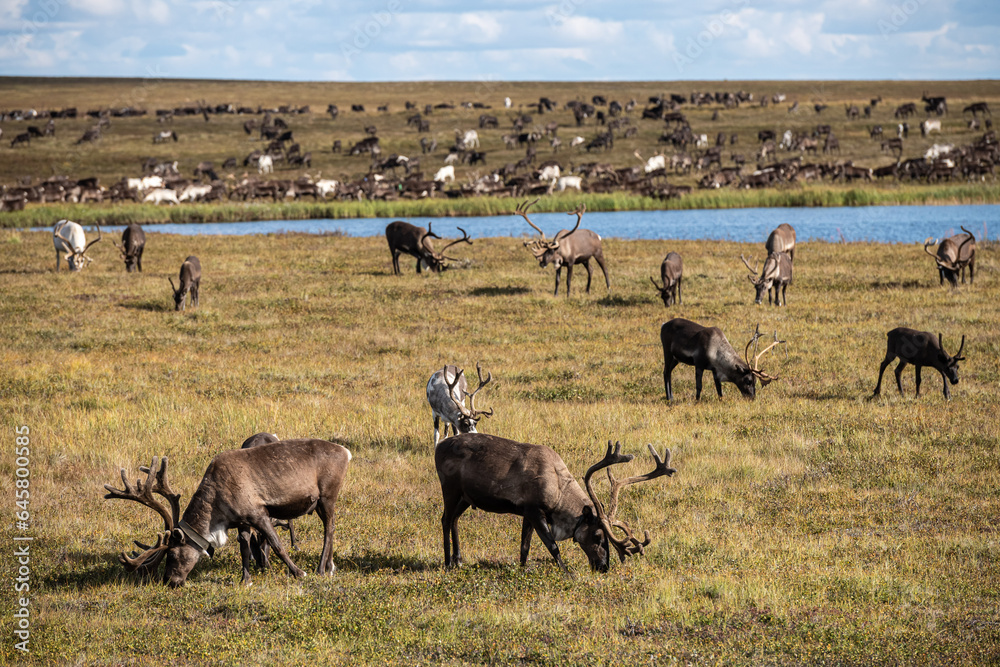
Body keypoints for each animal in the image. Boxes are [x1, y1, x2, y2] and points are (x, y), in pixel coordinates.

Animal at [104, 440, 351, 587]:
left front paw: (298, 572)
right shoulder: (241, 520)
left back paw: (321, 568)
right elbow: (245, 548)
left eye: (172, 553)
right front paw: (245, 579)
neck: (216, 512)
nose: (169, 581)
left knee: (329, 528)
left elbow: (277, 545)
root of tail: (346, 452)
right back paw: (330, 566)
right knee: (331, 527)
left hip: (327, 496)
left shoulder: (257, 512)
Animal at [436, 436, 674, 572]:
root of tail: (438, 445)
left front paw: (523, 570)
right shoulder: (535, 510)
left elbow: (524, 547)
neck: (559, 490)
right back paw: (448, 563)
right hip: (450, 489)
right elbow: (552, 546)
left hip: (466, 497)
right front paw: (567, 573)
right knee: (445, 519)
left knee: (455, 519)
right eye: (598, 536)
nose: (604, 567)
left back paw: (458, 559)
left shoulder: (526, 513)